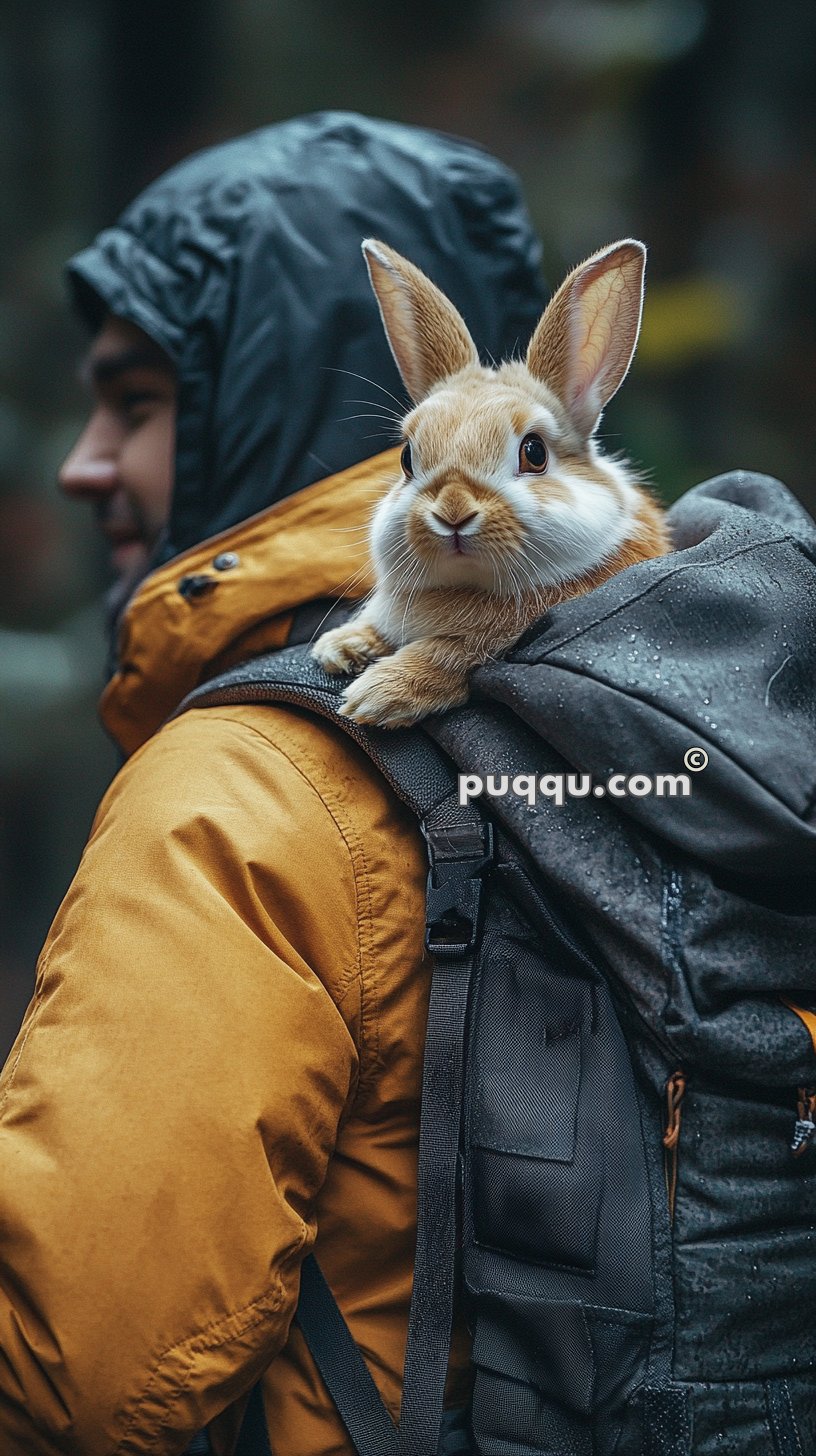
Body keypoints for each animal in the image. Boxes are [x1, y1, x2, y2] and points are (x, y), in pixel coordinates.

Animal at [311, 237, 670, 728]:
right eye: (406, 459)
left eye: (534, 453)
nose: (453, 512)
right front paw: (341, 647)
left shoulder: (491, 645)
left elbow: (451, 655)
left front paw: (377, 696)